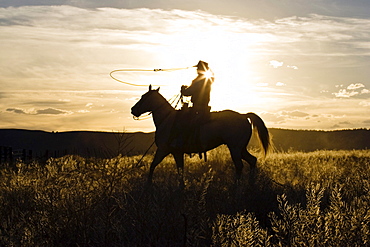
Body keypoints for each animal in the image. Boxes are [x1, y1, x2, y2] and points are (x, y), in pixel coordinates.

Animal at [132, 85, 270, 185]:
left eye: (144, 97)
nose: (133, 110)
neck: (167, 119)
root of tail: (243, 115)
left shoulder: (163, 150)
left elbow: (153, 166)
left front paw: (148, 186)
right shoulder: (177, 152)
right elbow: (180, 171)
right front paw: (181, 187)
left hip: (235, 148)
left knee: (240, 166)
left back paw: (236, 188)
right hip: (241, 148)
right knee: (252, 160)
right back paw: (250, 184)